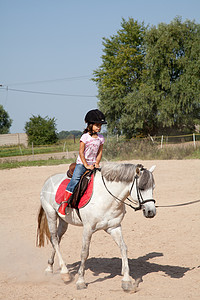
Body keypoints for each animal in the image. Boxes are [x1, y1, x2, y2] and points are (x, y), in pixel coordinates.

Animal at [37, 163, 156, 292]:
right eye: (141, 188)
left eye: (153, 188)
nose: (151, 211)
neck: (106, 197)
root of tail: (48, 180)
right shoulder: (88, 229)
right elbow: (84, 253)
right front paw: (80, 281)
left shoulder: (114, 227)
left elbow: (123, 248)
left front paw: (126, 281)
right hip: (51, 214)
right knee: (54, 239)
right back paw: (65, 273)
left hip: (64, 221)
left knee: (57, 240)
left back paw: (49, 268)